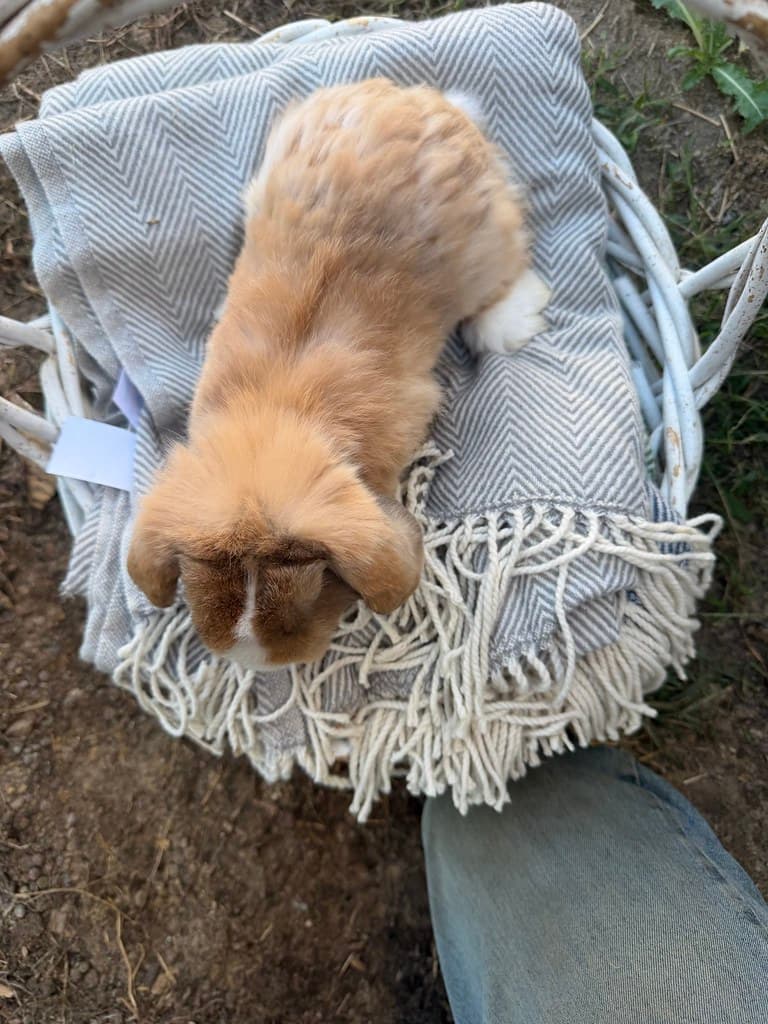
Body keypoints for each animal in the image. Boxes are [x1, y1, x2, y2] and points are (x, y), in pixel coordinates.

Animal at [127, 78, 550, 670]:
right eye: (202, 572)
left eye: (313, 582)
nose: (256, 659)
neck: (275, 417)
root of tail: (427, 104)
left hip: (486, 247)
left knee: (502, 278)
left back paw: (513, 323)